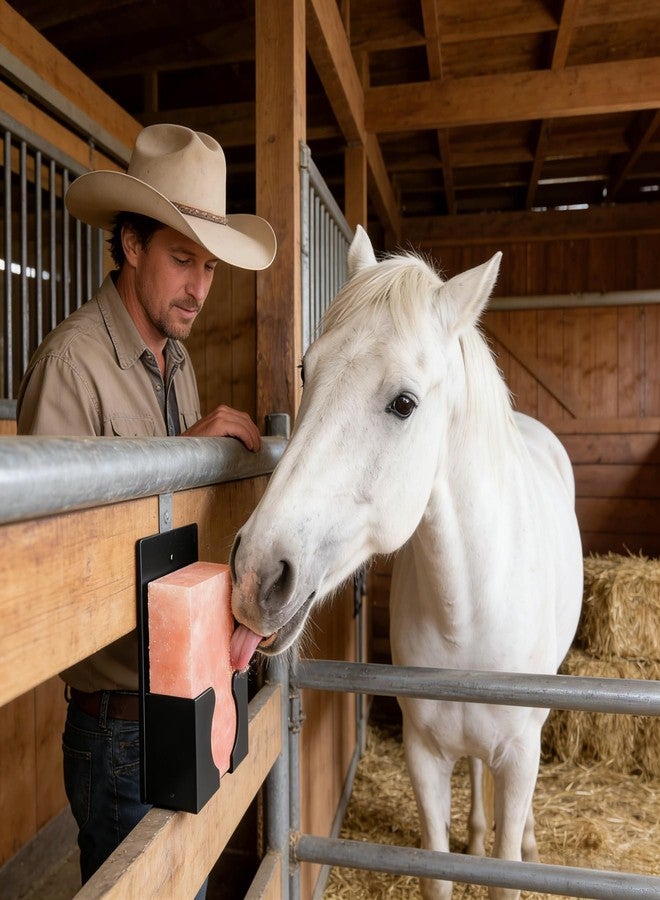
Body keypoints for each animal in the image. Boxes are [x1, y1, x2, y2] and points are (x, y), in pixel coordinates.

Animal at [229, 225, 583, 900]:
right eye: (305, 369)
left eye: (403, 402)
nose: (255, 574)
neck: (471, 608)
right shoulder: (424, 755)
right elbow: (439, 871)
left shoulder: (520, 755)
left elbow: (506, 868)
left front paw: (511, 848)